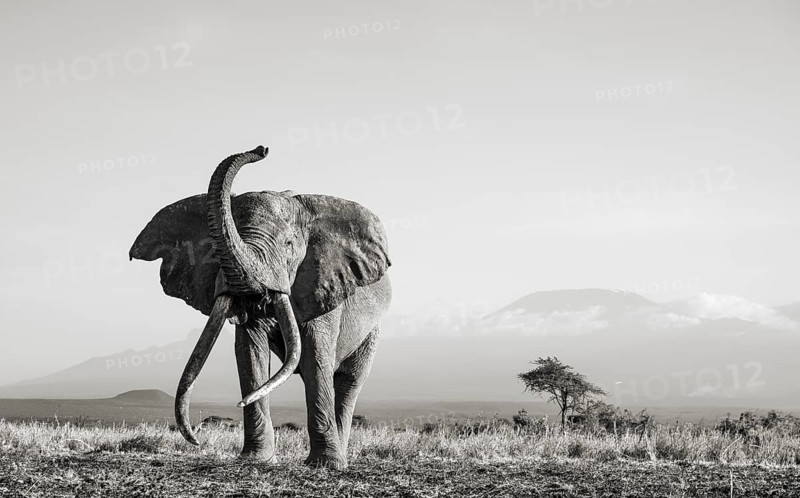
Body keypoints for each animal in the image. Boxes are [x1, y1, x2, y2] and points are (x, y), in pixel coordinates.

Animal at [129, 145, 391, 469]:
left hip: (372, 330)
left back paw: (339, 457)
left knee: (349, 380)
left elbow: (315, 357)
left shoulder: (324, 285)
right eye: (213, 250)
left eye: (289, 244)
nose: (261, 149)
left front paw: (325, 465)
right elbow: (250, 351)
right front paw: (256, 459)